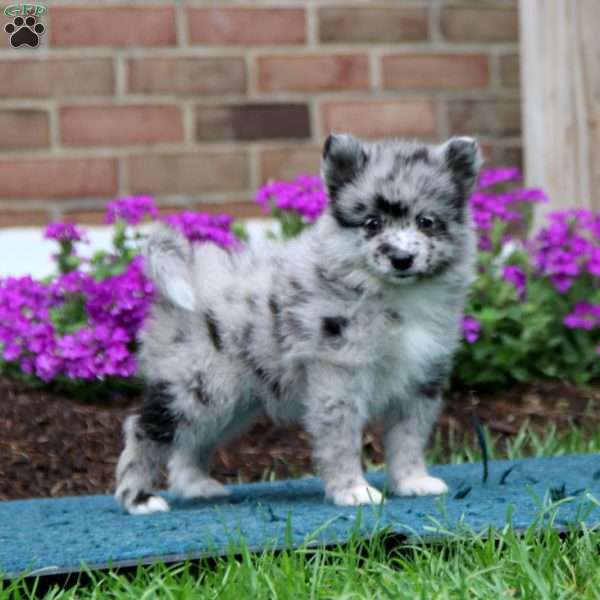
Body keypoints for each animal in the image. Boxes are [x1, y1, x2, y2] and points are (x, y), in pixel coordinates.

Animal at [116, 134, 482, 512]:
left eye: (426, 221)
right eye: (372, 224)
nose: (401, 259)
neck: (394, 296)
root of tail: (190, 273)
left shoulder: (421, 380)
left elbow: (408, 438)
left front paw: (412, 481)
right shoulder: (339, 375)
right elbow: (342, 440)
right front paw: (353, 491)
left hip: (231, 402)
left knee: (192, 441)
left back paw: (196, 485)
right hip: (197, 385)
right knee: (143, 429)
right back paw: (138, 499)